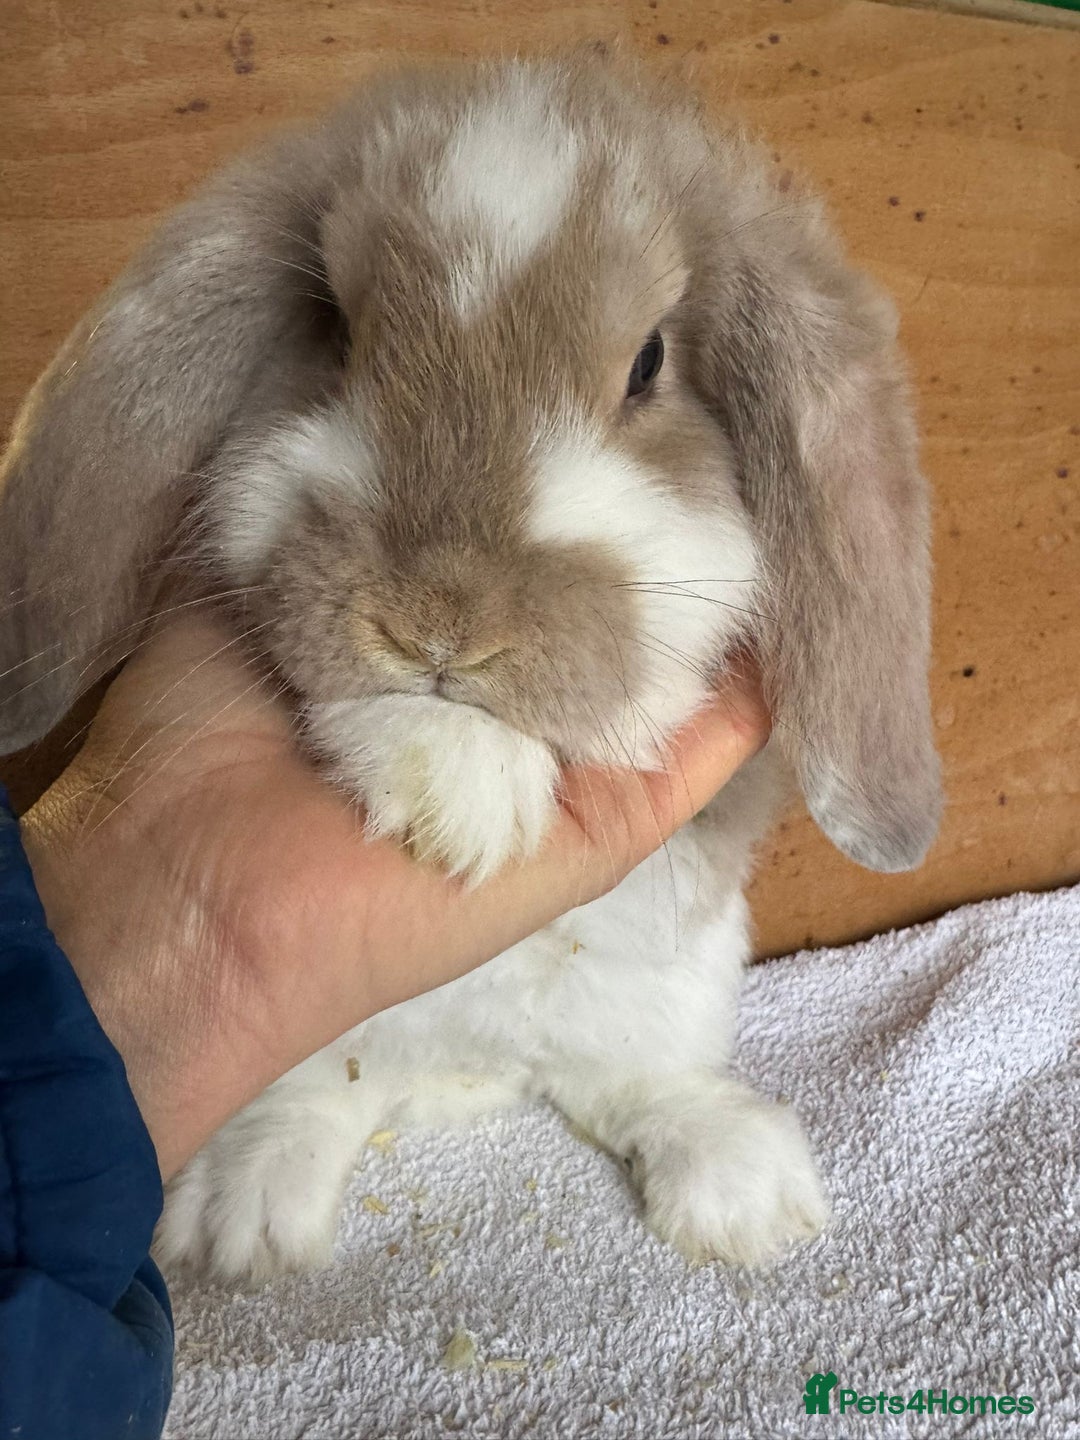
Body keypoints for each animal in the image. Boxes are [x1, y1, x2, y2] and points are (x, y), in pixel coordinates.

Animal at [0, 50, 941, 1285]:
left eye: (650, 362)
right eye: (333, 330)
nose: (434, 626)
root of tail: (463, 1070)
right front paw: (460, 791)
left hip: (676, 992)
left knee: (635, 1085)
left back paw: (740, 1189)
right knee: (311, 1100)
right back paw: (243, 1219)